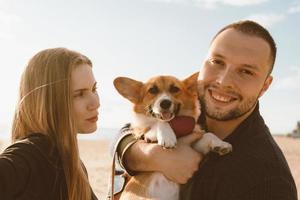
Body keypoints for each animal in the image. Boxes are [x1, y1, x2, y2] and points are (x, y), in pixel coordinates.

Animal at [112, 72, 232, 200]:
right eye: (152, 90)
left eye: (175, 89)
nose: (165, 103)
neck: (175, 125)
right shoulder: (148, 135)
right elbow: (160, 122)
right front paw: (167, 137)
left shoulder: (194, 146)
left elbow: (208, 135)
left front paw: (221, 144)